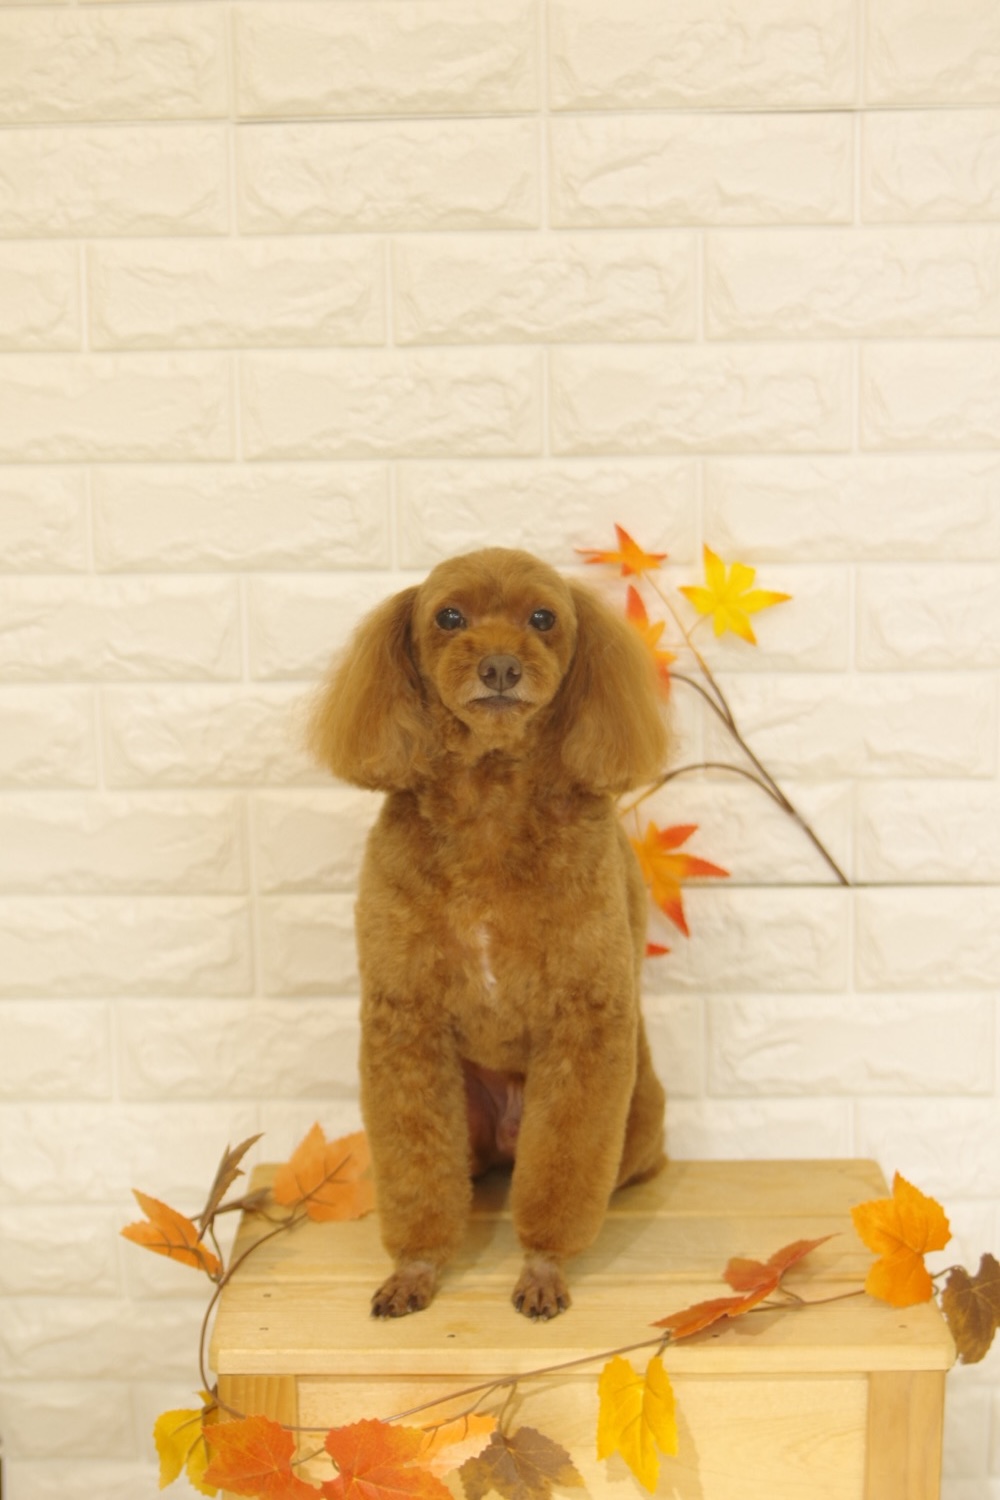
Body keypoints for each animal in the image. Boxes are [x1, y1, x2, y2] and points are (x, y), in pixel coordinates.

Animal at [308, 547, 668, 1319]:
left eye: (544, 618)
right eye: (449, 617)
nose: (500, 666)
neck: (492, 800)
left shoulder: (585, 1019)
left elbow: (562, 1171)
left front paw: (543, 1268)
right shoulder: (405, 1021)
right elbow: (416, 1169)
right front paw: (415, 1269)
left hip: (637, 1116)